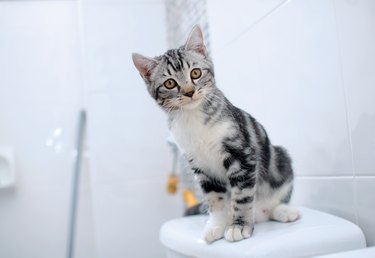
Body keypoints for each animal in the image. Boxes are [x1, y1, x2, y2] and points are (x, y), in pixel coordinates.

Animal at [132, 25, 300, 243]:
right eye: (169, 83)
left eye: (195, 73)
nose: (189, 92)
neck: (193, 118)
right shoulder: (200, 166)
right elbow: (214, 198)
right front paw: (217, 225)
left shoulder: (242, 154)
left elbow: (242, 196)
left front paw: (239, 226)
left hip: (280, 159)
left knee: (277, 196)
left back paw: (283, 211)